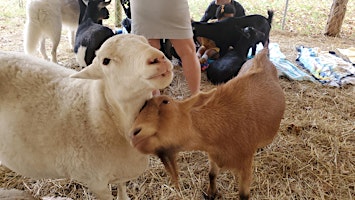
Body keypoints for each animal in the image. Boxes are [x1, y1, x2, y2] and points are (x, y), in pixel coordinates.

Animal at [0, 33, 174, 199]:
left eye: (145, 41)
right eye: (105, 61)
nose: (158, 58)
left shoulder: (122, 170)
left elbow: (122, 189)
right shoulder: (96, 183)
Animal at [129, 47, 288, 200]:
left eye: (165, 101)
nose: (134, 134)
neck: (222, 125)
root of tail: (261, 57)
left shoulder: (246, 165)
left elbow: (244, 195)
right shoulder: (213, 155)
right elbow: (211, 174)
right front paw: (211, 193)